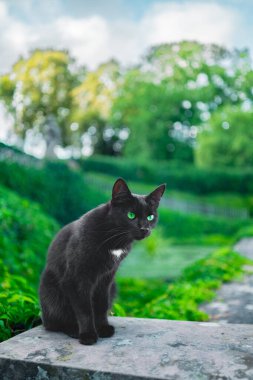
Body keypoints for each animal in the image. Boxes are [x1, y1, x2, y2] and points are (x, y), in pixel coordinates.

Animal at [39, 178, 166, 344]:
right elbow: (84, 309)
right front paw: (88, 335)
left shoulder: (106, 278)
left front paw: (103, 328)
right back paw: (73, 330)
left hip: (114, 287)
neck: (114, 240)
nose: (145, 228)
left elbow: (101, 305)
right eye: (131, 215)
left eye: (151, 217)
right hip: (51, 291)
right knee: (55, 322)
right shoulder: (77, 278)